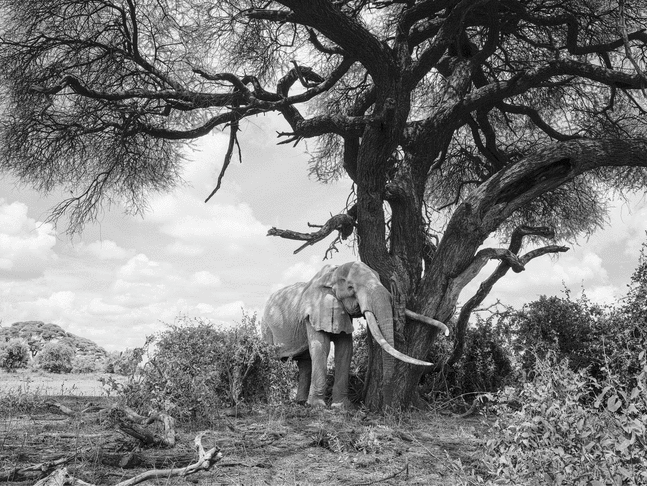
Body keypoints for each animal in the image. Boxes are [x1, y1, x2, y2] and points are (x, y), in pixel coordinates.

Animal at [260, 260, 448, 408]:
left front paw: (341, 407)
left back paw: (299, 402)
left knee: (304, 363)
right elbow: (321, 347)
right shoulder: (314, 311)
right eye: (351, 288)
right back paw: (270, 402)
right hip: (266, 328)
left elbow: (345, 349)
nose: (446, 333)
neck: (333, 274)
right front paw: (318, 407)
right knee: (271, 358)